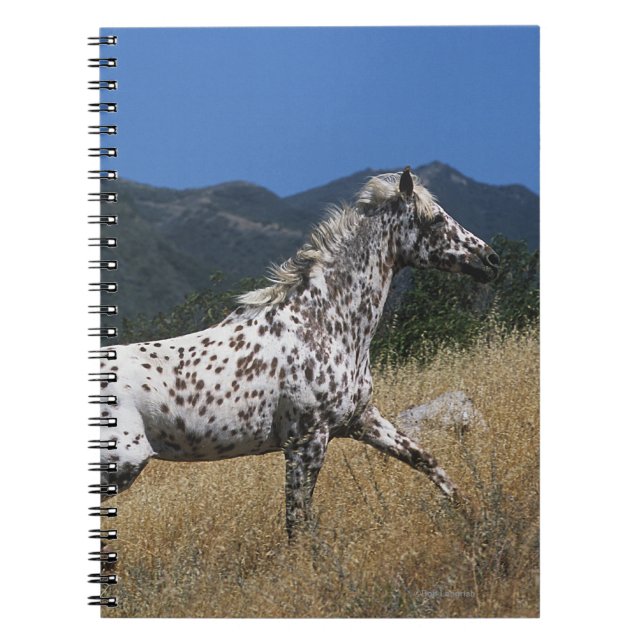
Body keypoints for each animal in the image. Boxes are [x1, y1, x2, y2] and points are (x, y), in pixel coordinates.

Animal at [98, 168, 499, 537]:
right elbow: (298, 522)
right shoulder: (306, 442)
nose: (490, 260)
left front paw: (472, 515)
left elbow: (425, 459)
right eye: (436, 219)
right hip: (120, 467)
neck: (324, 323)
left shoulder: (361, 419)